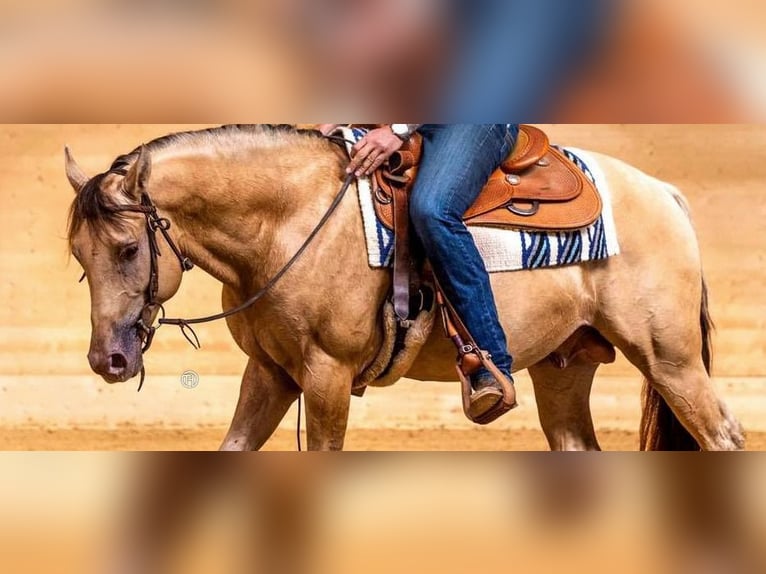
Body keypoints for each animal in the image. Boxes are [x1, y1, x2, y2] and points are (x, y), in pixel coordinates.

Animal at [64, 124, 744, 451]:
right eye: (78, 256)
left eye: (128, 250)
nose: (108, 361)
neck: (290, 221)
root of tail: (664, 193)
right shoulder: (272, 372)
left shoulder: (327, 375)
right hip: (565, 367)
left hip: (670, 359)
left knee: (722, 436)